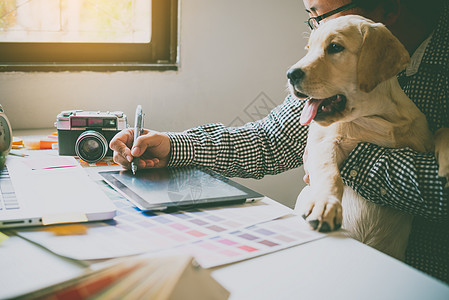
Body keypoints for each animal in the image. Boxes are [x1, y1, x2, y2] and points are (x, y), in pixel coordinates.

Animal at [288, 15, 448, 260]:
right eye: (308, 49)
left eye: (335, 47)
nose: (290, 74)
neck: (376, 117)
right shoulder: (323, 144)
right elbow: (329, 174)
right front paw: (325, 205)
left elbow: (442, 131)